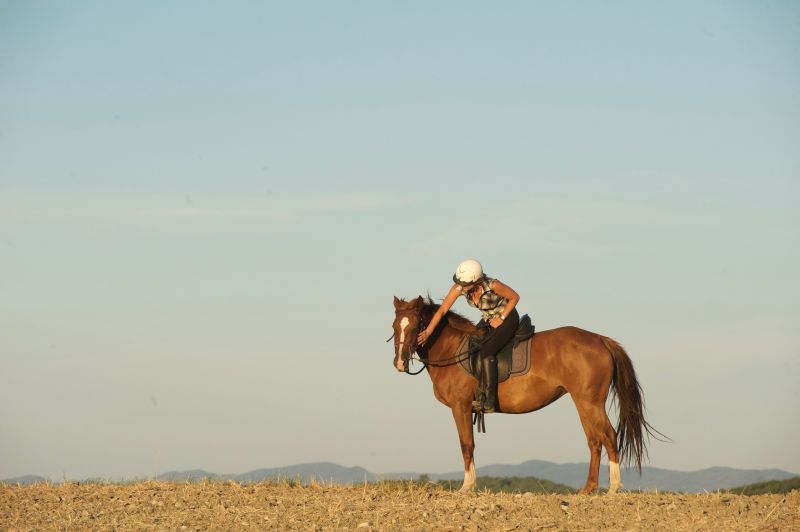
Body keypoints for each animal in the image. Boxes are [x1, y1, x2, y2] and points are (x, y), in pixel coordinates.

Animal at [390, 296, 660, 494]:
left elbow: (467, 444)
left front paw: (467, 487)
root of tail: (601, 340)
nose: (400, 363)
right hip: (585, 403)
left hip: (589, 402)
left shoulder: (461, 406)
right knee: (595, 440)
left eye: (415, 326)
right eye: (394, 327)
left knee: (608, 436)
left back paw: (613, 488)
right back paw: (588, 489)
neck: (453, 350)